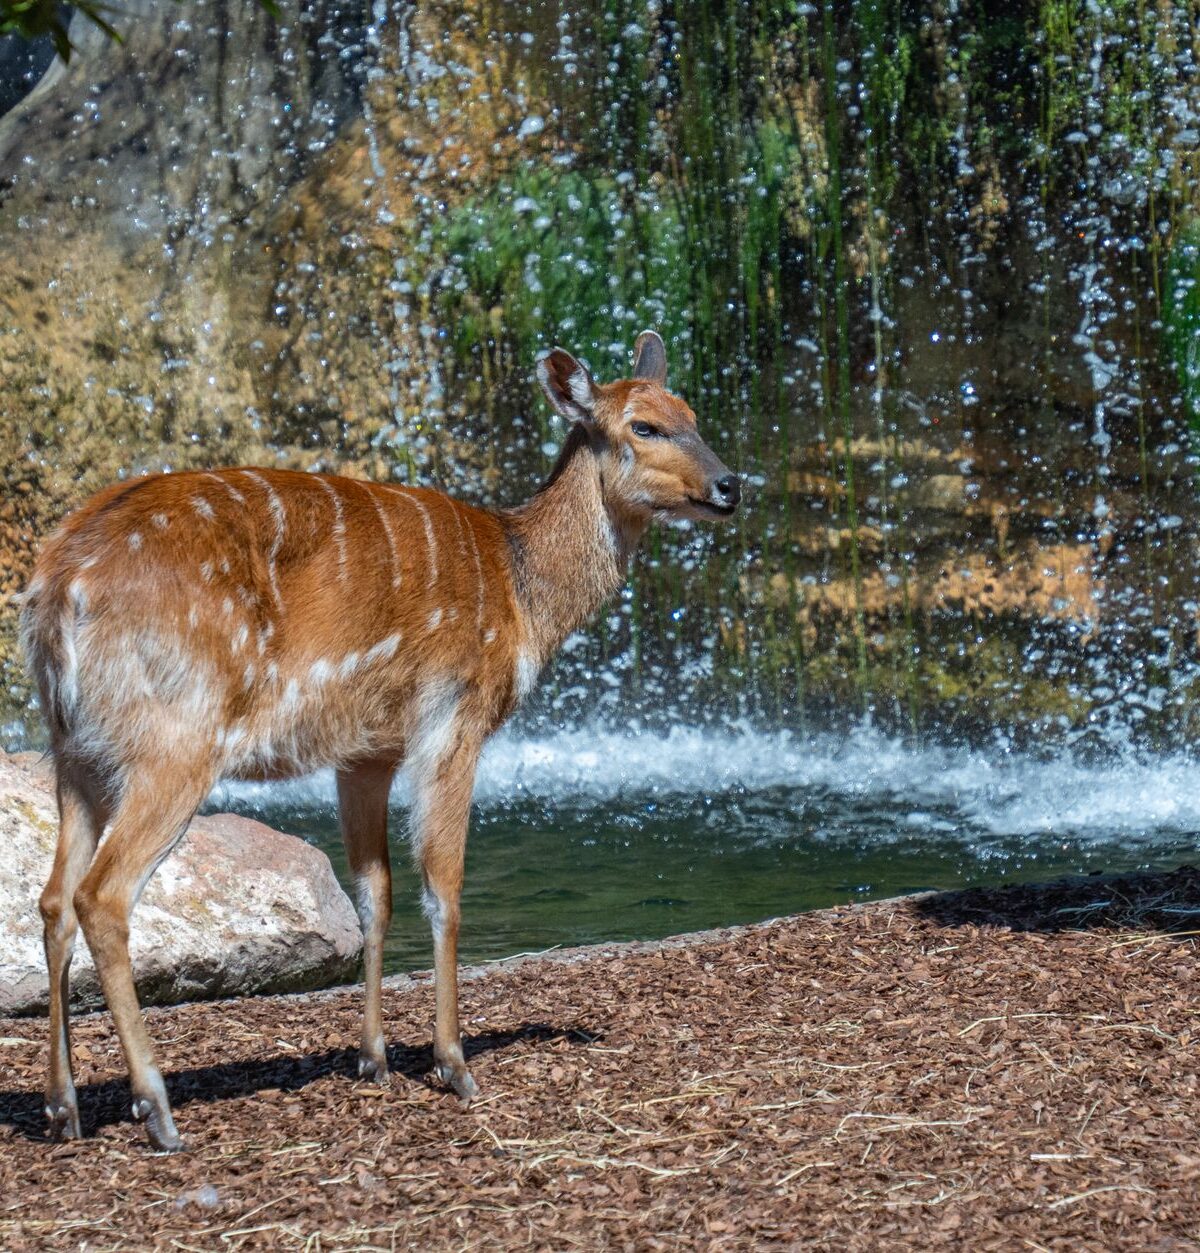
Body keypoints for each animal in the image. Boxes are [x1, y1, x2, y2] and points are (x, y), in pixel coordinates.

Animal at [20, 331, 740, 1151]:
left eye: (693, 414)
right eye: (643, 427)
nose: (730, 485)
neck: (523, 597)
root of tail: (57, 589)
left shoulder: (365, 751)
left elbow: (375, 892)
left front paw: (374, 1059)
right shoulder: (454, 714)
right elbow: (443, 887)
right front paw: (453, 1064)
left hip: (73, 746)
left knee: (52, 897)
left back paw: (63, 1107)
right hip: (175, 735)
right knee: (100, 894)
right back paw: (157, 1109)